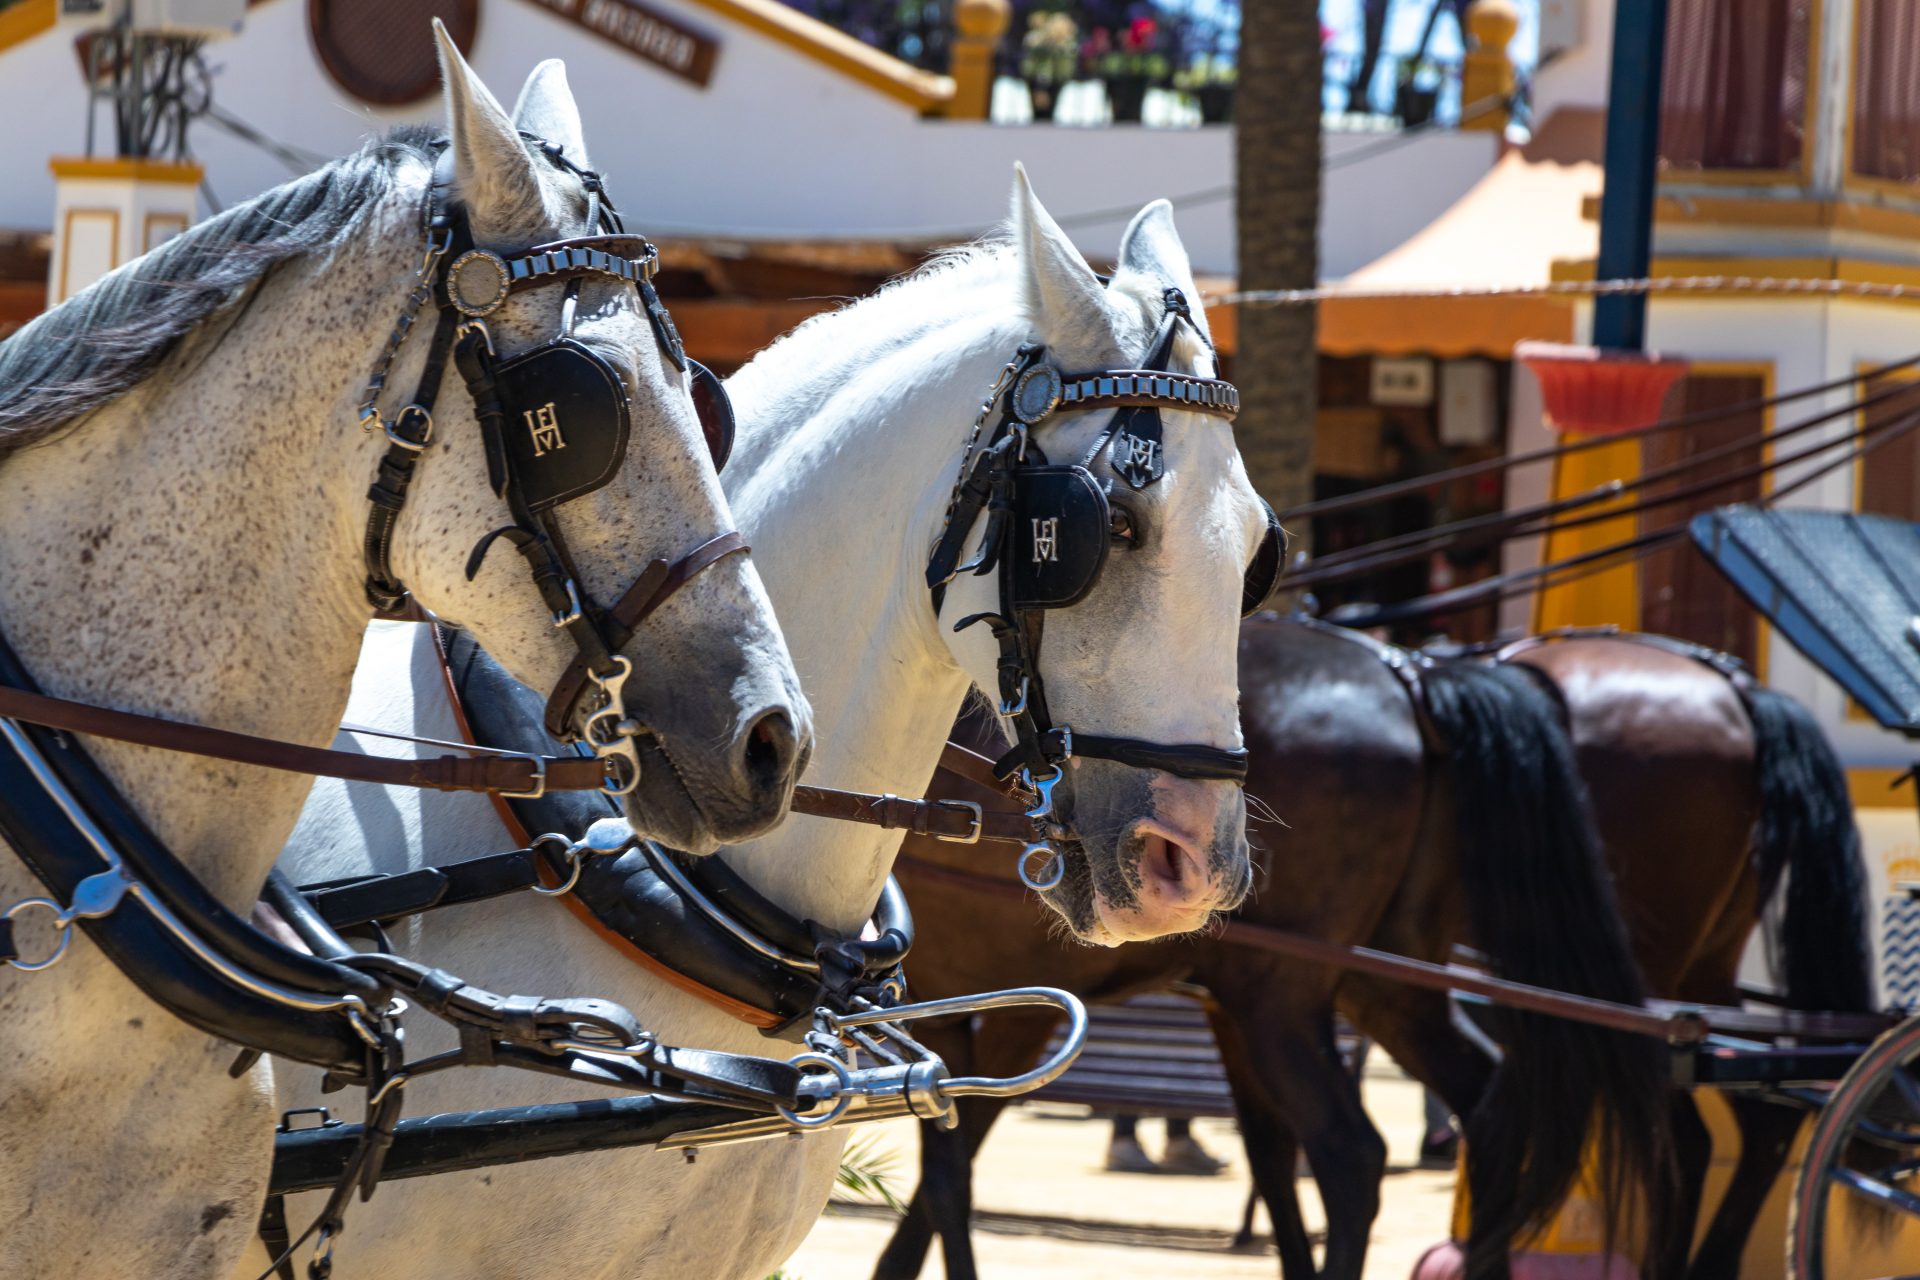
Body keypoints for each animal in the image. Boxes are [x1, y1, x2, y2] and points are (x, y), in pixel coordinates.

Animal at [879, 614, 1866, 1274]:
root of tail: (1413, 680)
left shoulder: (985, 1002)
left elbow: (948, 1166)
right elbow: (954, 1162)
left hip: (1301, 993)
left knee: (1356, 1154)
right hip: (1391, 985)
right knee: (1539, 1113)